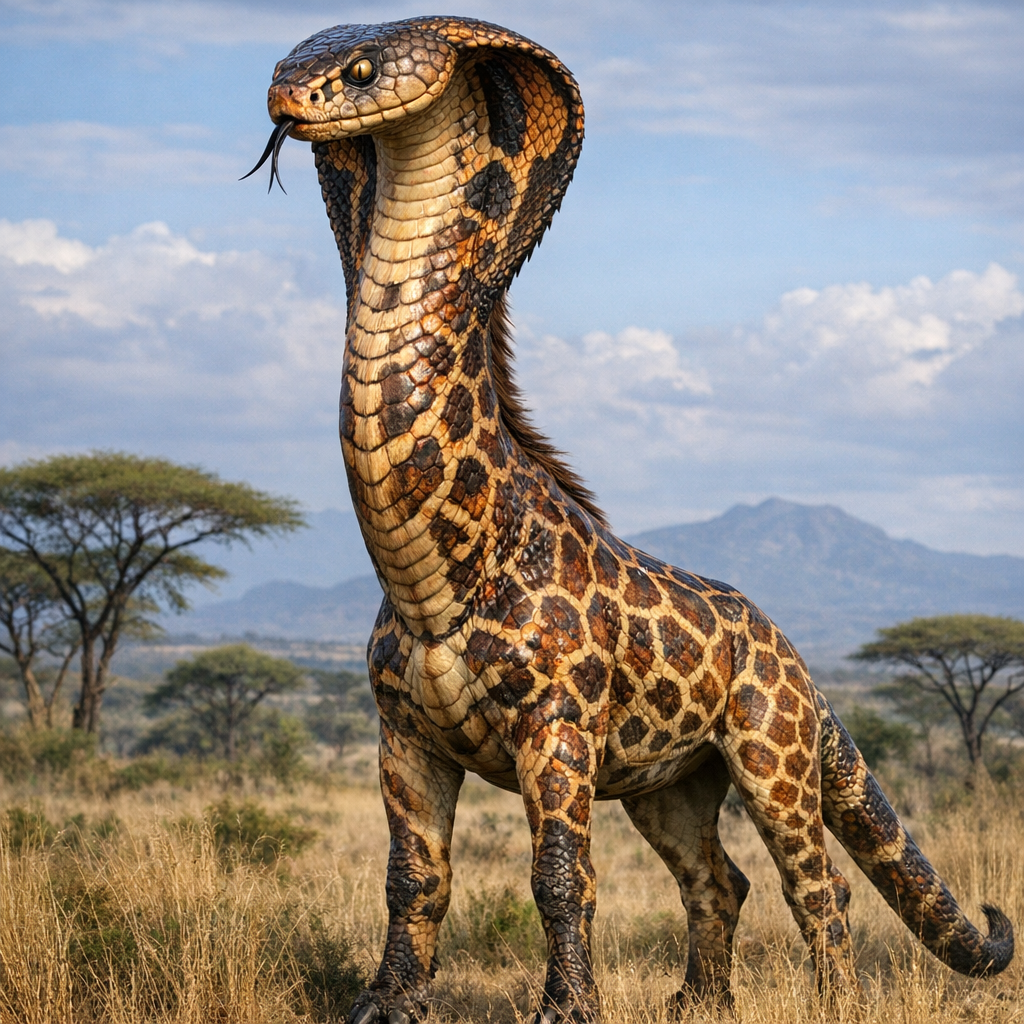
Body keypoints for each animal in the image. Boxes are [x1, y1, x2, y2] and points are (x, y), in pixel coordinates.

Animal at [249, 17, 1014, 1024]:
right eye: (283, 62)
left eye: (364, 68)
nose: (283, 104)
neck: (432, 581)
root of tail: (801, 663)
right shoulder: (402, 733)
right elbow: (414, 879)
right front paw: (386, 1004)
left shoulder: (557, 724)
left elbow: (560, 879)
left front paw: (568, 1009)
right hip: (669, 782)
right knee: (718, 877)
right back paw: (699, 1004)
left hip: (771, 751)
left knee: (818, 881)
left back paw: (837, 1004)